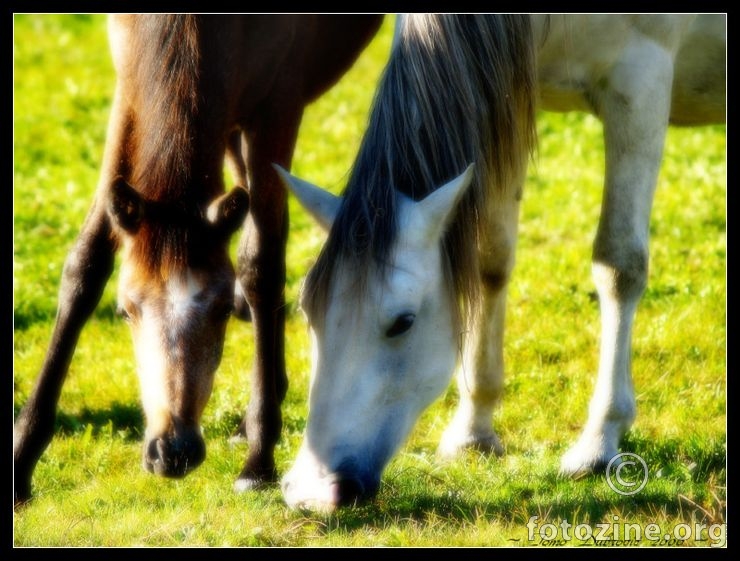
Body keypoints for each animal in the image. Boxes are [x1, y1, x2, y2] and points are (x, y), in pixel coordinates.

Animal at [11, 13, 382, 506]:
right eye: (125, 310)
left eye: (221, 309)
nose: (173, 450)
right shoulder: (129, 93)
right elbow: (85, 264)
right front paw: (22, 458)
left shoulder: (279, 105)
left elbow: (259, 265)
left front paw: (259, 461)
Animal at [276, 14, 724, 512]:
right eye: (307, 313)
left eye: (402, 322)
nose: (313, 491)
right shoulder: (503, 96)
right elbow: (489, 261)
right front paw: (474, 429)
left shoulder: (639, 86)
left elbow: (618, 266)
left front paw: (599, 440)